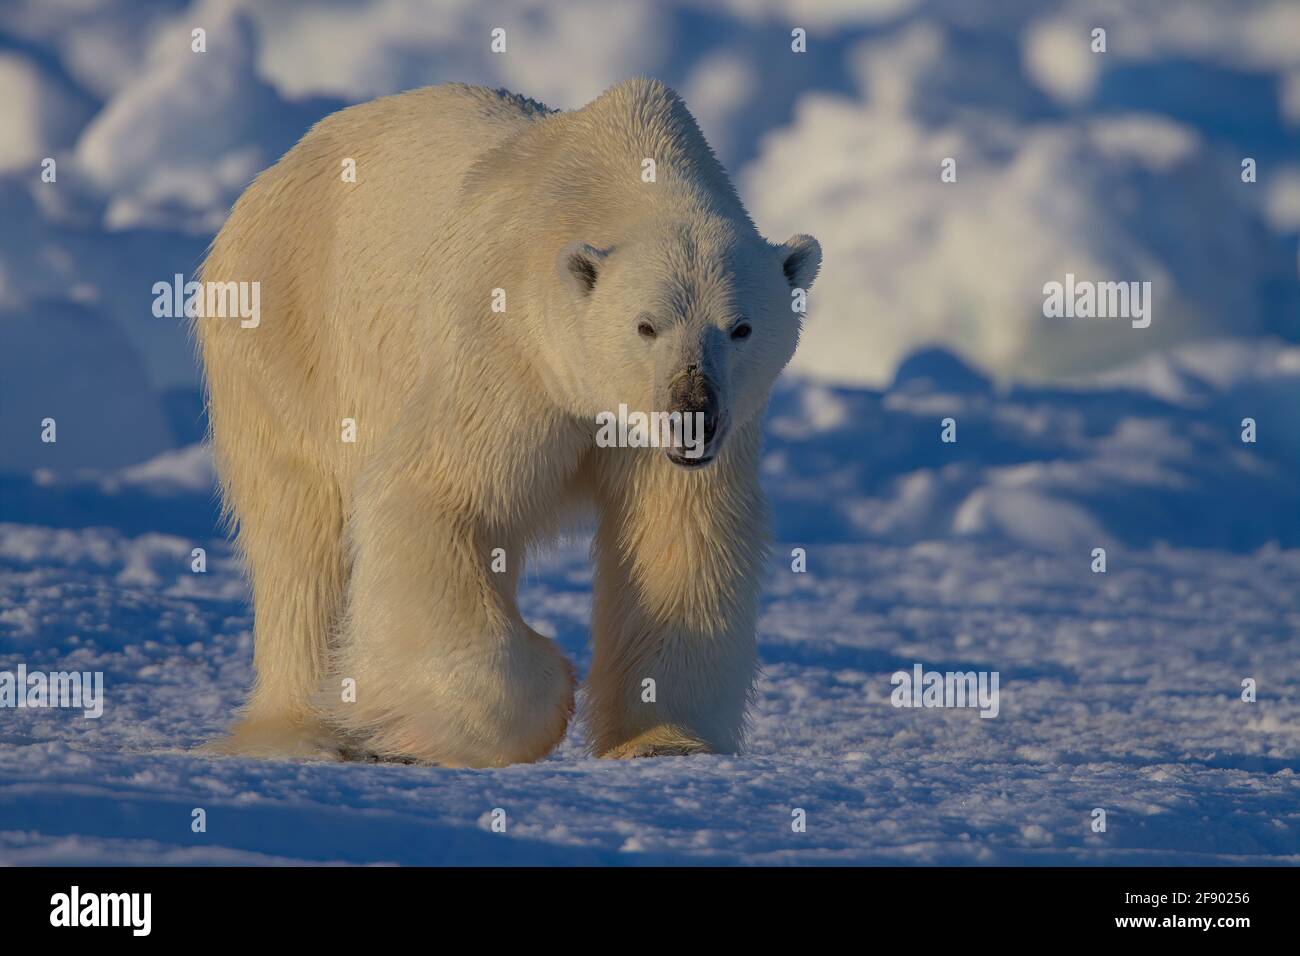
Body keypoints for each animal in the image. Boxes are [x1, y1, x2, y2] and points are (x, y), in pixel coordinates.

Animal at [196, 82, 816, 770]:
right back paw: (309, 727)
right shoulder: (507, 346)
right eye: (646, 325)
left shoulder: (687, 435)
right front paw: (523, 693)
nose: (692, 415)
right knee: (299, 529)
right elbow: (440, 496)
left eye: (741, 328)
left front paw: (664, 741)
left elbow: (680, 538)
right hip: (289, 331)